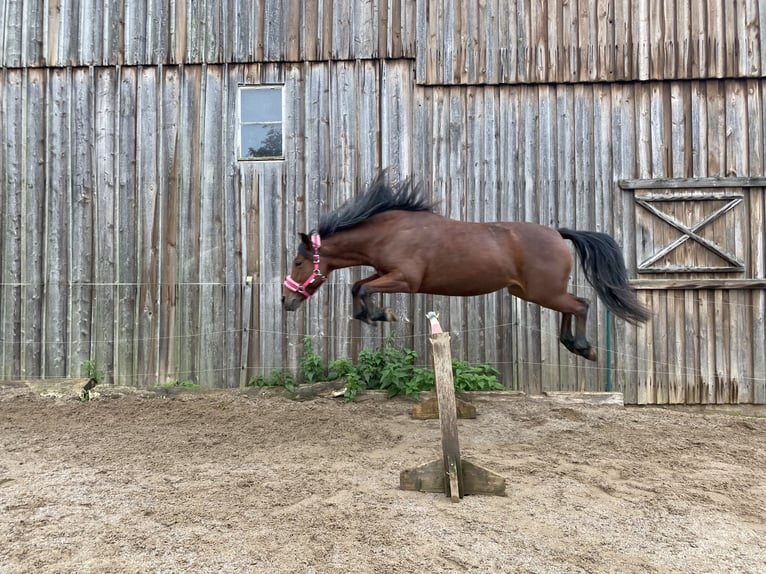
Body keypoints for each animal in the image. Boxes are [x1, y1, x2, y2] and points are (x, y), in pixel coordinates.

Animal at [284, 173, 652, 362]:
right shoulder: (388, 272)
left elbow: (363, 287)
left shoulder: (406, 279)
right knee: (572, 306)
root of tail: (558, 233)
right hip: (533, 293)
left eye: (299, 261)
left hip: (543, 292)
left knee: (581, 304)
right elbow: (357, 285)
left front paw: (380, 314)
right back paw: (572, 344)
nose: (286, 301)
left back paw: (584, 347)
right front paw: (372, 315)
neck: (390, 231)